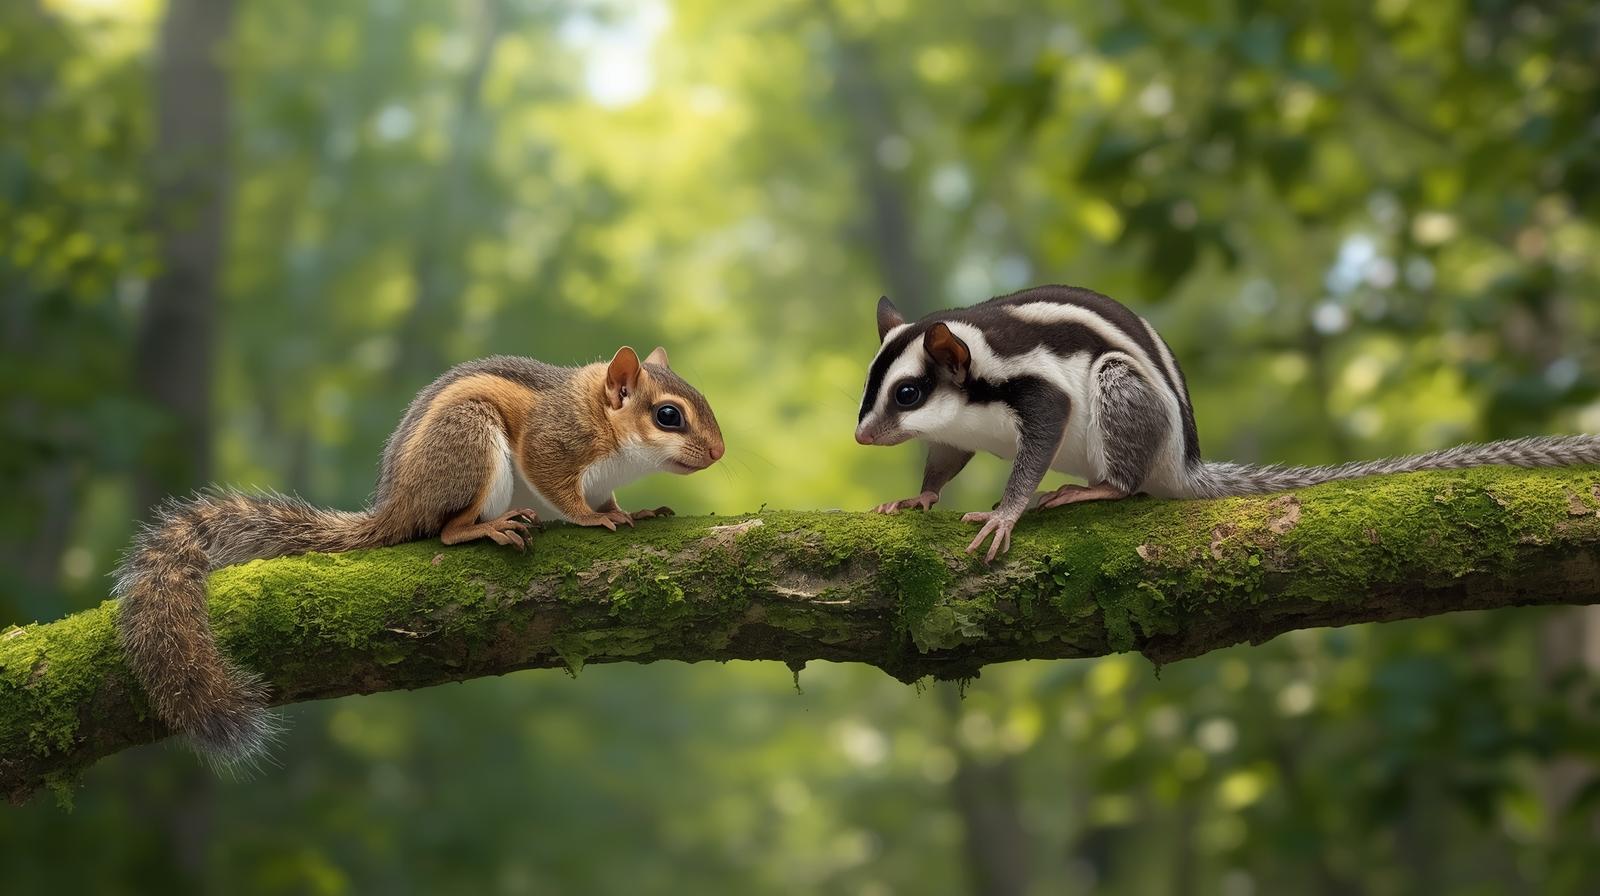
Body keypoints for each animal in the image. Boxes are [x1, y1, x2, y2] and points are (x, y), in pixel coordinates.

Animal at [116, 346, 724, 764]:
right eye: (668, 416)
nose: (720, 452)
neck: (603, 423)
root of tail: (398, 506)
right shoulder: (552, 446)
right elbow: (567, 495)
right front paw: (595, 519)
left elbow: (611, 498)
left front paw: (638, 510)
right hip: (470, 445)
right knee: (445, 531)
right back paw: (487, 528)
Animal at [855, 284, 1600, 561]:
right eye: (875, 387)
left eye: (909, 392)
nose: (861, 436)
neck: (974, 384)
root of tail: (1183, 463)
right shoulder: (955, 434)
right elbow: (944, 463)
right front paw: (917, 498)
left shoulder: (1039, 392)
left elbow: (1036, 444)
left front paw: (1006, 514)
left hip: (1118, 387)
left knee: (1126, 482)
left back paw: (1093, 488)